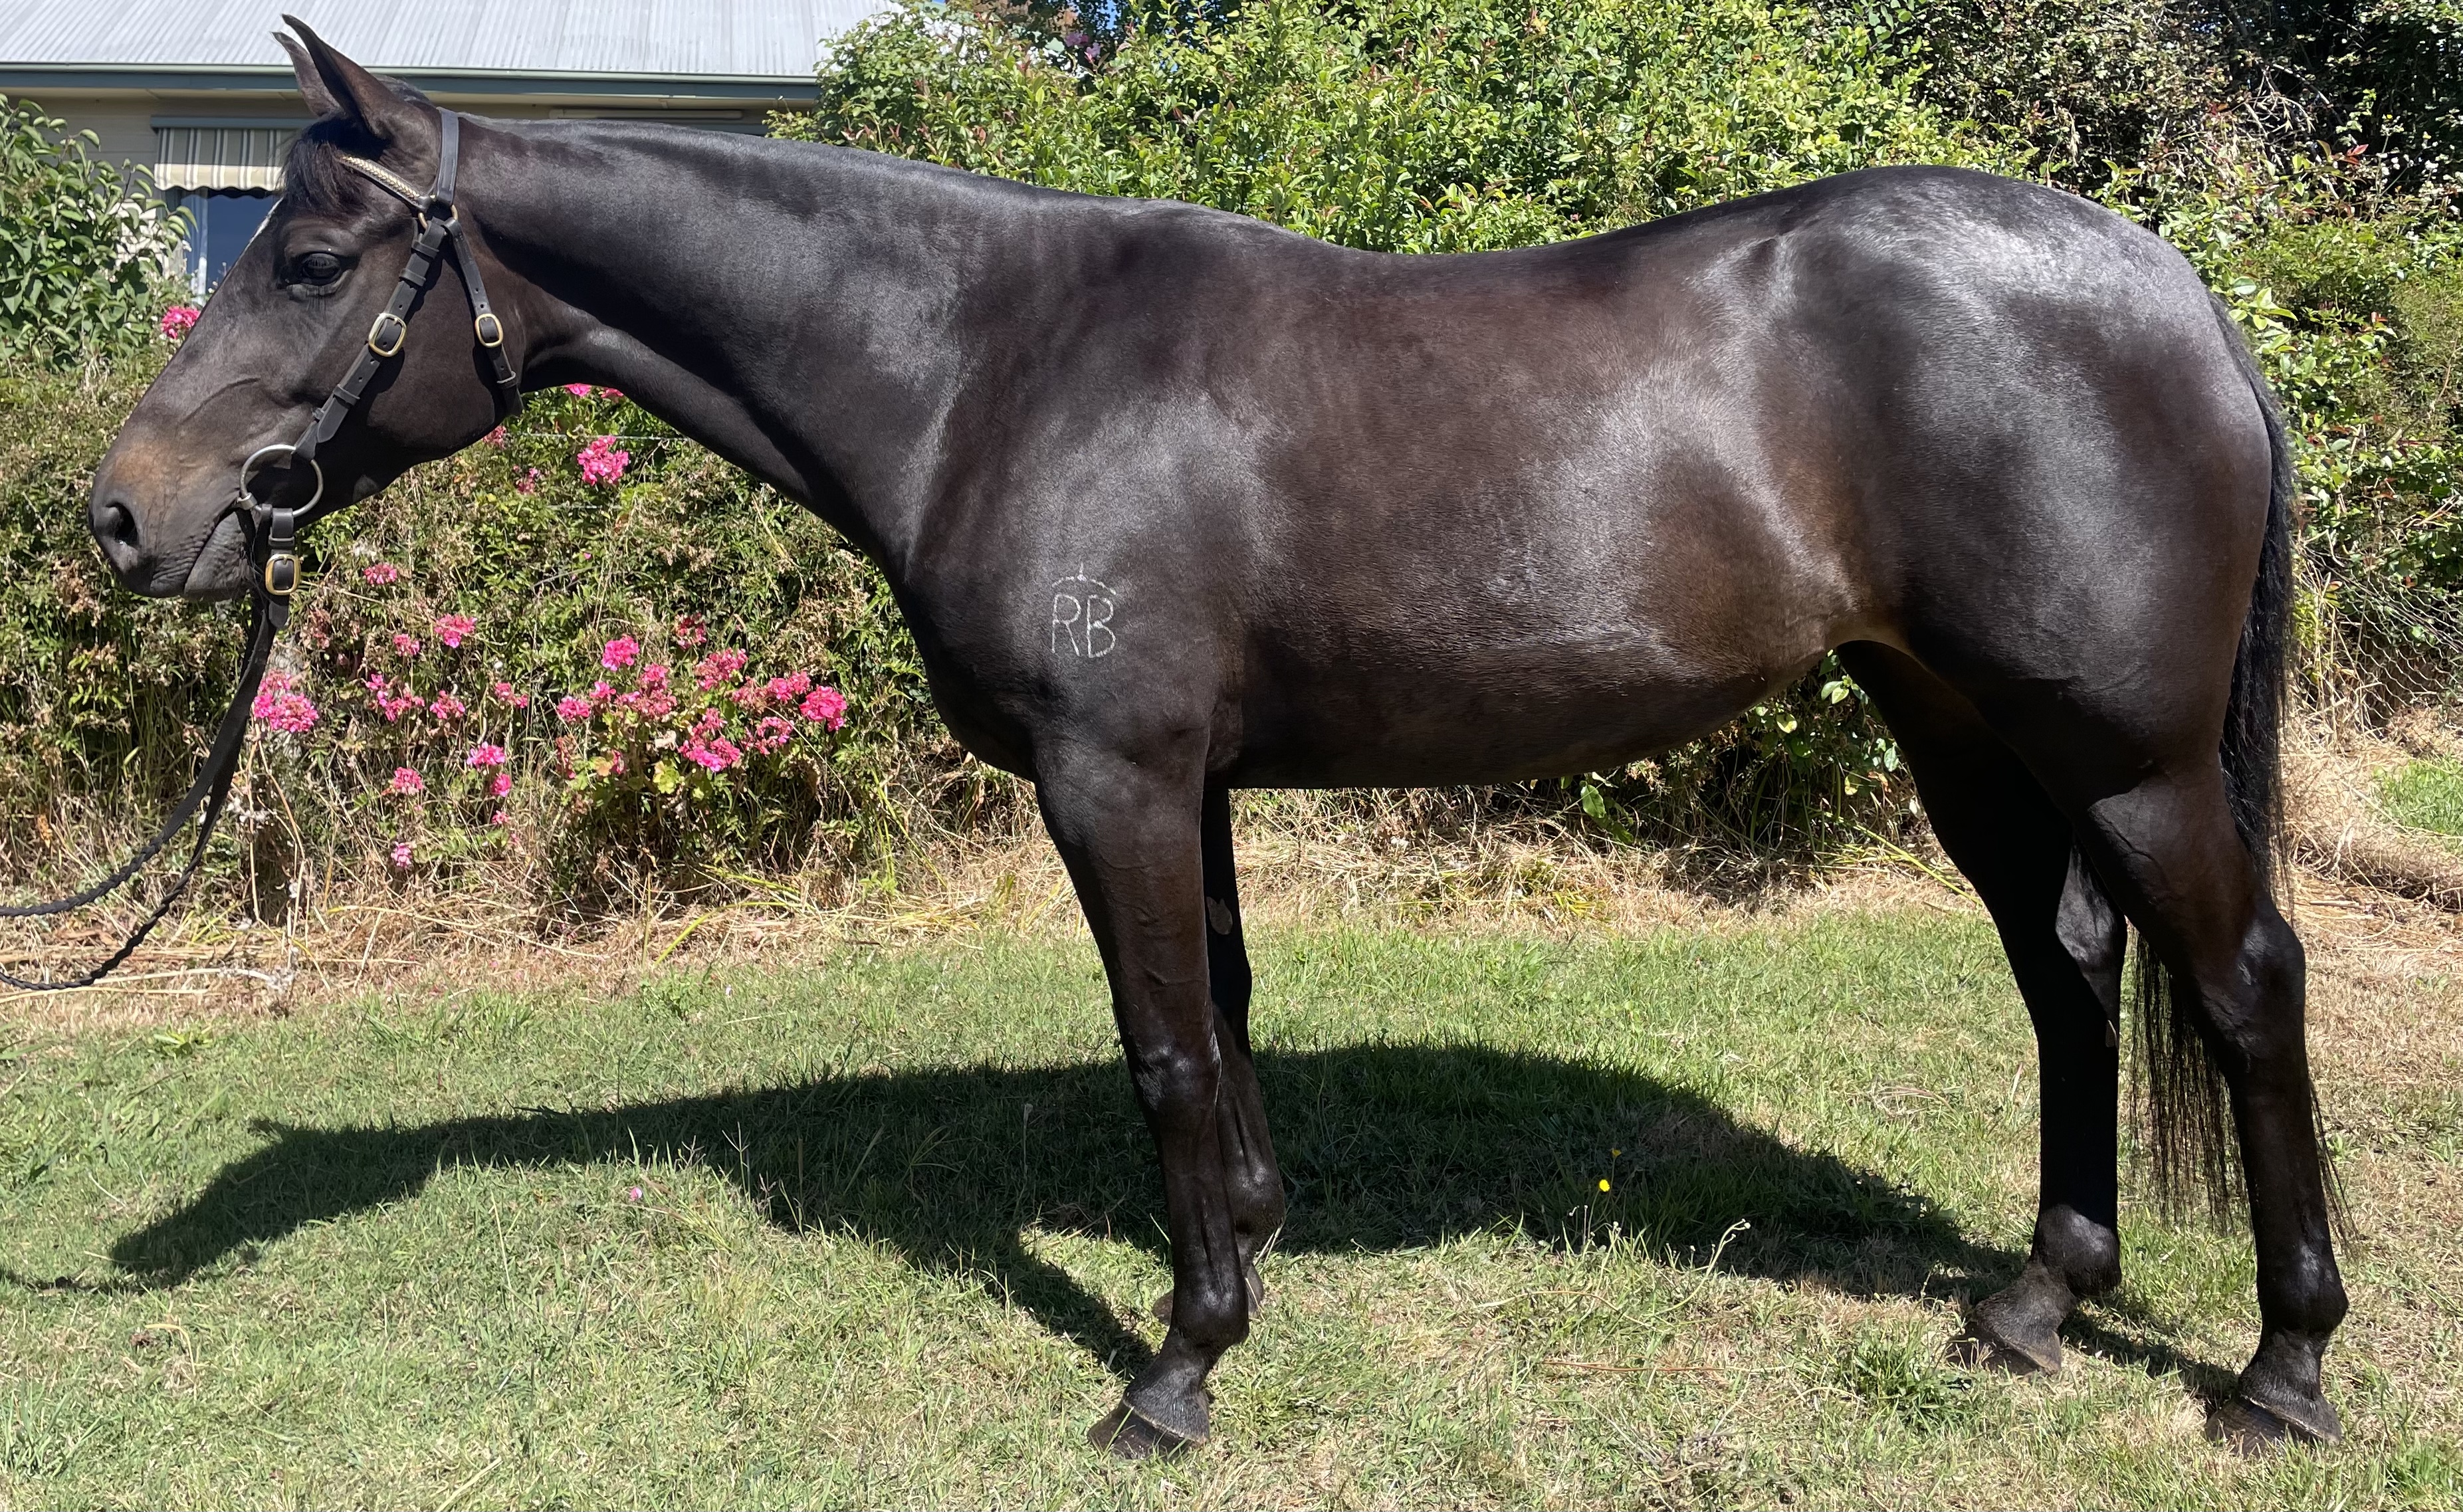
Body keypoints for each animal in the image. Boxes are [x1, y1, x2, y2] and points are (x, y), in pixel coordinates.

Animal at [84, 19, 2346, 1458]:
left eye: (309, 255)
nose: (124, 518)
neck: (984, 362)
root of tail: (2169, 288)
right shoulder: (1195, 781)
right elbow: (1227, 1025)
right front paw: (1247, 1253)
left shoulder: (1115, 776)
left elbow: (1163, 1045)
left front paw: (1173, 1369)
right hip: (1955, 719)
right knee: (2064, 971)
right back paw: (2034, 1303)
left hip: (2127, 756)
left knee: (2238, 983)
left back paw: (2278, 1370)